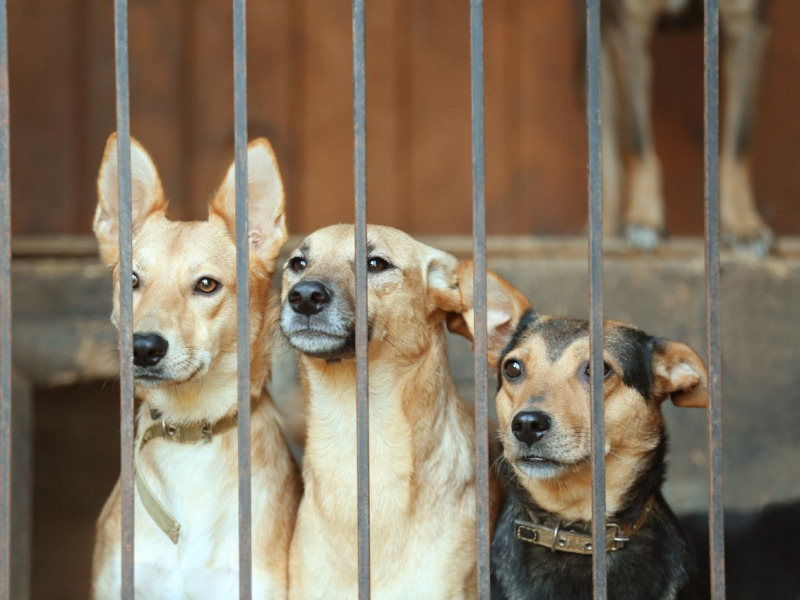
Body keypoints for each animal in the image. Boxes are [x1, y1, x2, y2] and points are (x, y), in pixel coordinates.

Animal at [580, 0, 776, 255]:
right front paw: (645, 218)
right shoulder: (631, 26)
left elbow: (739, 143)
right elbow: (637, 140)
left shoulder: (748, 25)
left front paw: (743, 223)